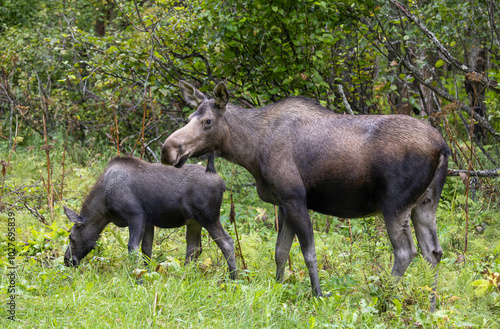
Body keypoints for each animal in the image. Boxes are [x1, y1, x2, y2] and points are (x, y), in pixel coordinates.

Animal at [163, 80, 450, 310]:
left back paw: (383, 301)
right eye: (189, 117)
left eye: (207, 121)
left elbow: (308, 252)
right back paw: (432, 306)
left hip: (395, 205)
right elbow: (280, 251)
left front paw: (318, 295)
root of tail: (442, 146)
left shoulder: (295, 198)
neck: (251, 151)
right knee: (433, 252)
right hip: (425, 204)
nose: (169, 149)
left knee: (405, 252)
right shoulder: (283, 203)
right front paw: (278, 287)